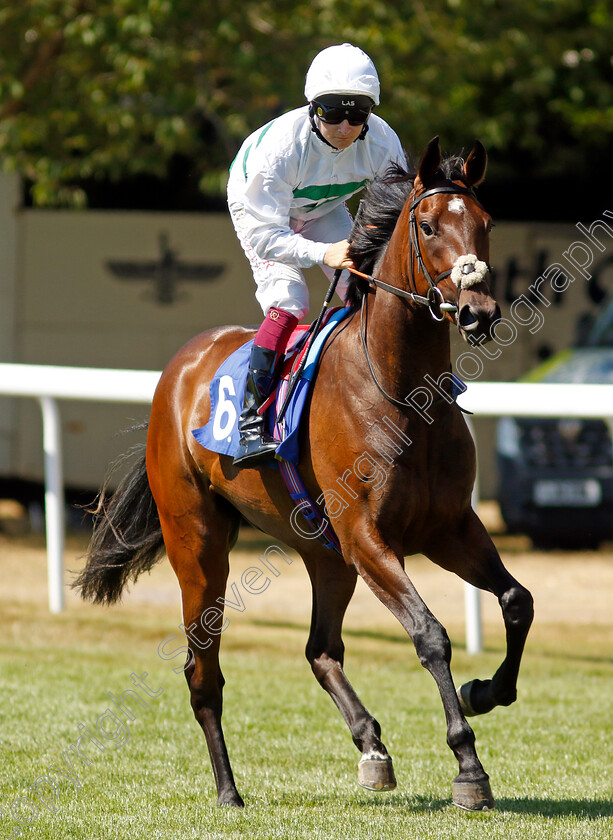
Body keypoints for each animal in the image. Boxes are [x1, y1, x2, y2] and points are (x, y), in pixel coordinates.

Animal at [76, 139, 532, 812]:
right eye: (427, 226)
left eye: (487, 223)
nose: (478, 312)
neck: (400, 391)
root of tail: (179, 370)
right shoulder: (369, 537)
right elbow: (430, 635)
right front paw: (468, 764)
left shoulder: (447, 527)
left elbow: (517, 601)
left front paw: (485, 691)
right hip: (200, 545)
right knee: (203, 672)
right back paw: (228, 790)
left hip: (324, 554)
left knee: (320, 649)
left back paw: (371, 747)